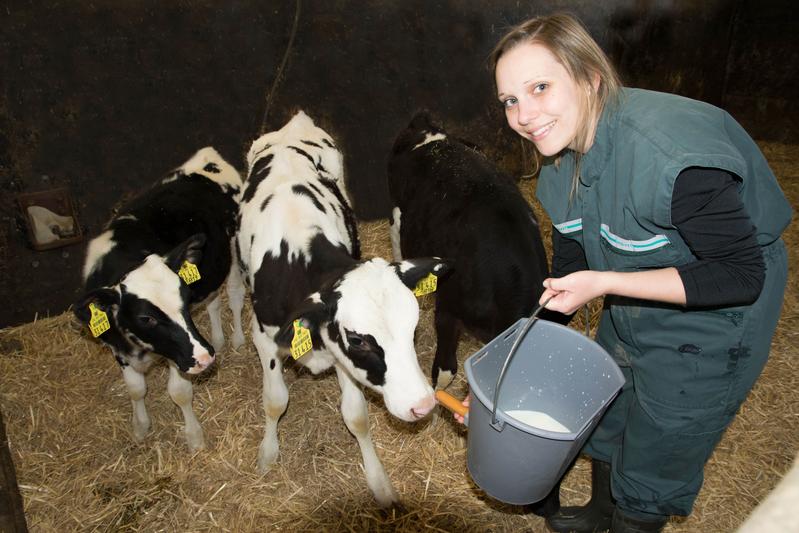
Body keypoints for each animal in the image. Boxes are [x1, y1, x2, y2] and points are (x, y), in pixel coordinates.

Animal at [75, 148, 245, 450]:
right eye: (146, 317)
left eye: (184, 300)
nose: (205, 357)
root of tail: (206, 157)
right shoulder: (117, 347)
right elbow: (135, 389)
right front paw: (140, 427)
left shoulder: (179, 353)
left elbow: (179, 392)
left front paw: (194, 438)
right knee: (213, 301)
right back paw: (218, 338)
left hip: (235, 249)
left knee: (235, 294)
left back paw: (236, 339)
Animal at [238, 110, 450, 504]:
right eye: (358, 340)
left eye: (413, 328)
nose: (424, 405)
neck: (297, 252)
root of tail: (294, 124)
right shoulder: (265, 337)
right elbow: (275, 400)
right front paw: (268, 453)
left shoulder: (340, 359)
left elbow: (356, 416)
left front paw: (378, 482)